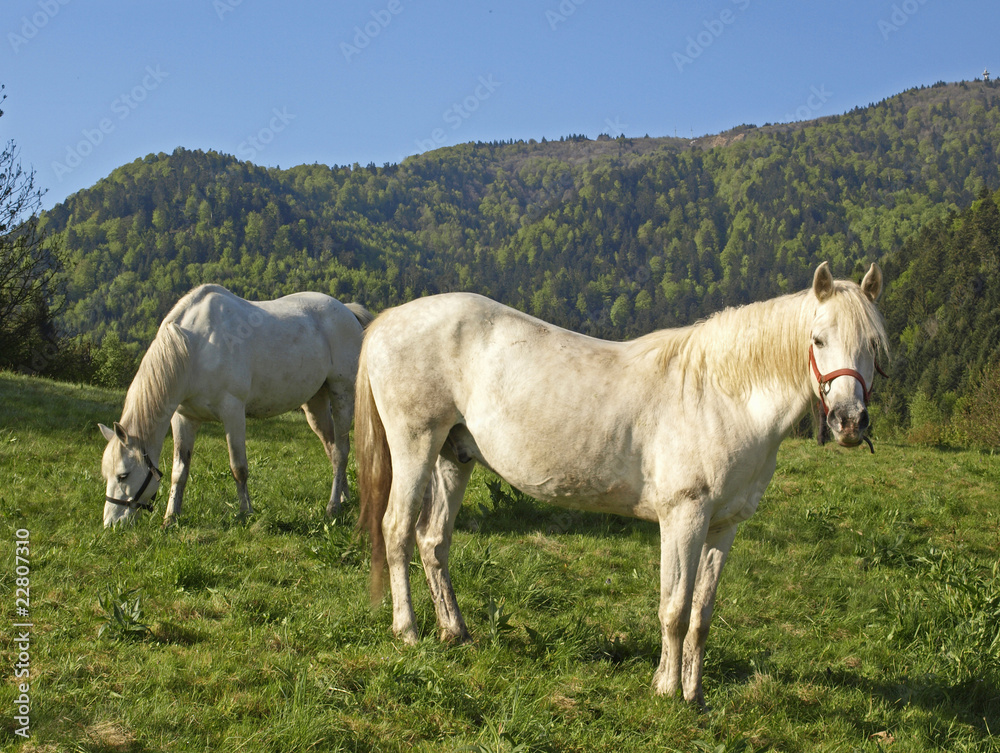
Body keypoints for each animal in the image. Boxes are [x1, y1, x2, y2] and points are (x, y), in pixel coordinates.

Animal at [99, 284, 373, 528]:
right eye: (106, 474)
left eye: (123, 475)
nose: (112, 524)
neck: (195, 348)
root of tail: (347, 311)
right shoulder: (184, 418)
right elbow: (180, 470)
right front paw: (171, 517)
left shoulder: (233, 412)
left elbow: (238, 468)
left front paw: (246, 513)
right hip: (315, 403)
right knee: (332, 448)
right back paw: (344, 497)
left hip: (342, 394)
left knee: (341, 451)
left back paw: (333, 507)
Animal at [354, 262, 886, 705]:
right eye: (818, 339)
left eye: (874, 344)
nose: (849, 422)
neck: (721, 396)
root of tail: (388, 320)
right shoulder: (683, 517)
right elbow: (674, 608)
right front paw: (668, 691)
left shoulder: (724, 527)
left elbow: (702, 615)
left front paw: (695, 694)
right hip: (415, 445)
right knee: (397, 530)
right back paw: (408, 632)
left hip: (454, 457)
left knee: (433, 541)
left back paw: (455, 631)